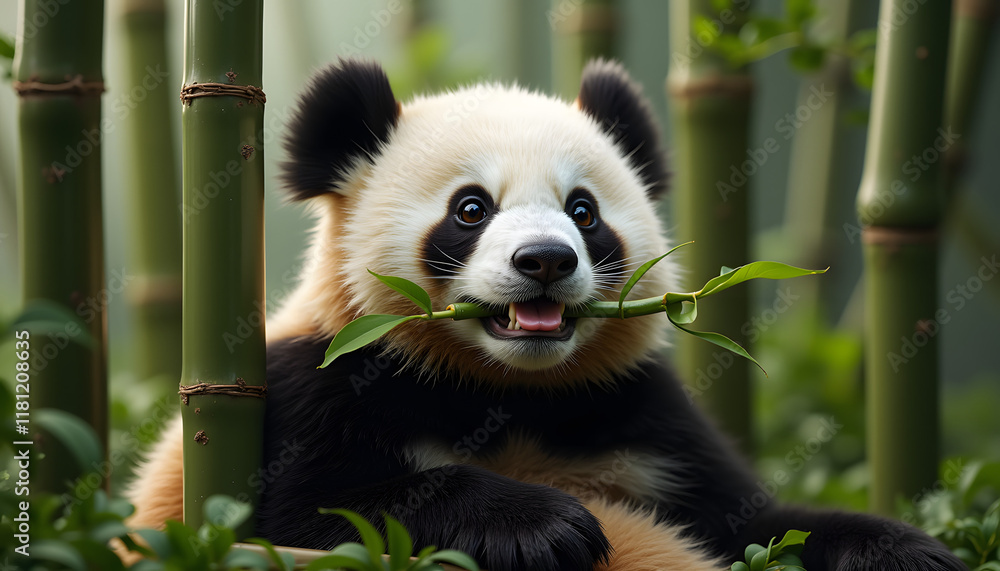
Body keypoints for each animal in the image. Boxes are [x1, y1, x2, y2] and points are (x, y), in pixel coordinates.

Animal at [127, 58, 964, 571]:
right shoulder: (314, 387)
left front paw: (905, 546)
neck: (508, 388)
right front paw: (546, 526)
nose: (545, 261)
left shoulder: (637, 417)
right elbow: (305, 513)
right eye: (471, 208)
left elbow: (749, 520)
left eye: (583, 211)